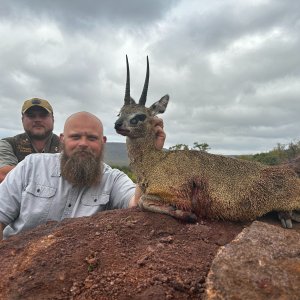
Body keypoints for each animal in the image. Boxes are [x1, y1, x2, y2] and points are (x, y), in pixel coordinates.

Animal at [114, 56, 300, 229]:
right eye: (120, 113)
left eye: (140, 116)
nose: (117, 125)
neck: (155, 162)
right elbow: (142, 201)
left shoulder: (171, 193)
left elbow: (142, 202)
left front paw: (187, 214)